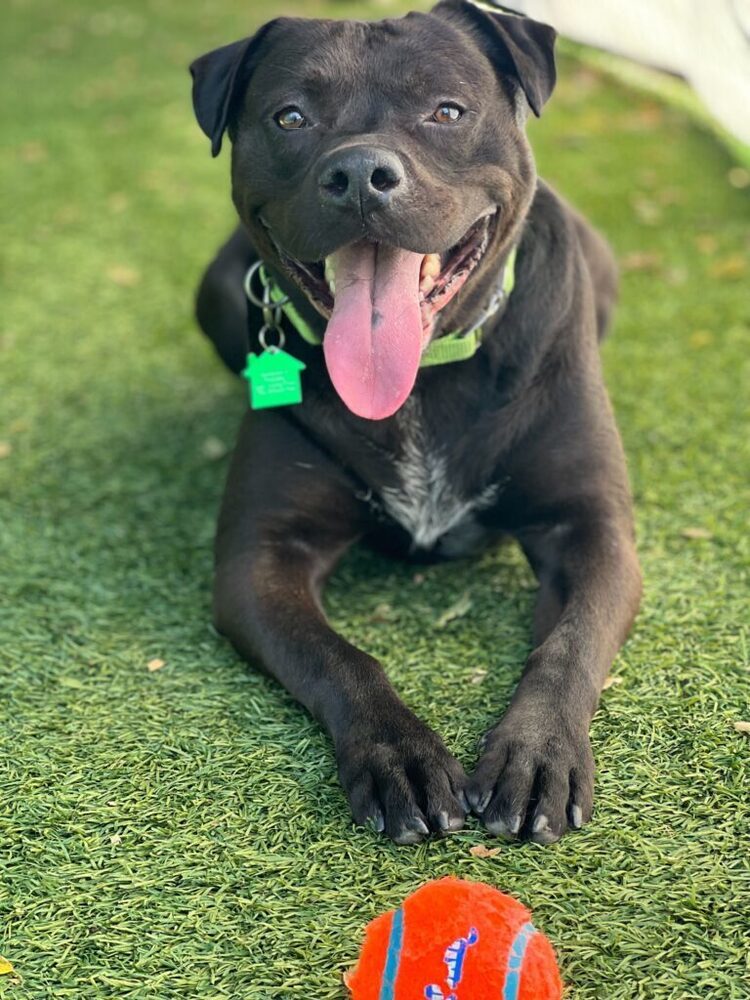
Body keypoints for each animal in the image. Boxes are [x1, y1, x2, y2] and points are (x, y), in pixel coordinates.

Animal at [188, 0, 640, 844]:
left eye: (447, 111)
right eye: (290, 117)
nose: (360, 174)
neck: (423, 383)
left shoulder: (591, 532)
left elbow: (567, 646)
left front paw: (537, 754)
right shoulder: (259, 559)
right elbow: (342, 658)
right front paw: (401, 757)